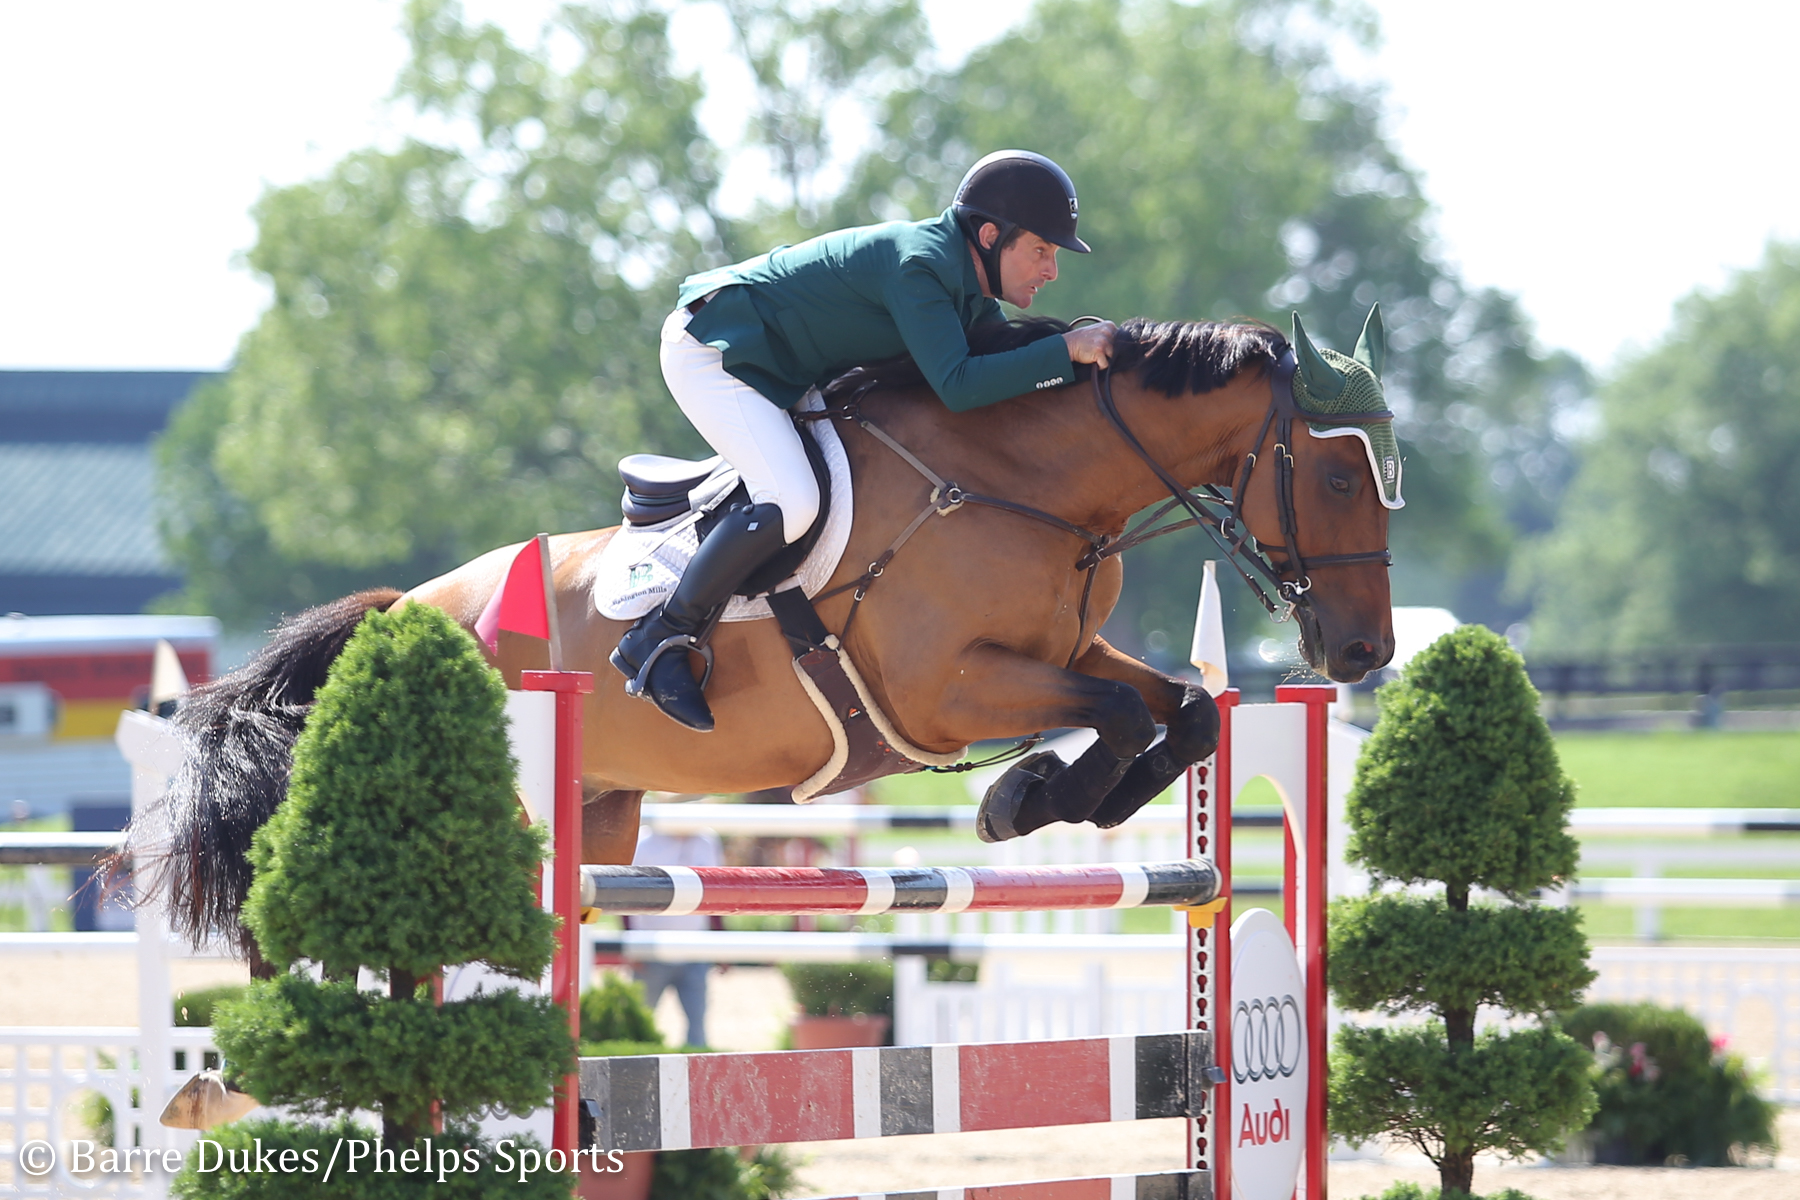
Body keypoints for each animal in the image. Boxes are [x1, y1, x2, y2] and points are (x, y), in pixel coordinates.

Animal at [127, 309, 1397, 962]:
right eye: (1339, 474)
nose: (1363, 658)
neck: (1019, 482)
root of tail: (405, 614)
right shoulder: (944, 692)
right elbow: (1126, 712)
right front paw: (1026, 797)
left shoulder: (1065, 652)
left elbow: (1182, 712)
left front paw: (1045, 797)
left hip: (600, 807)